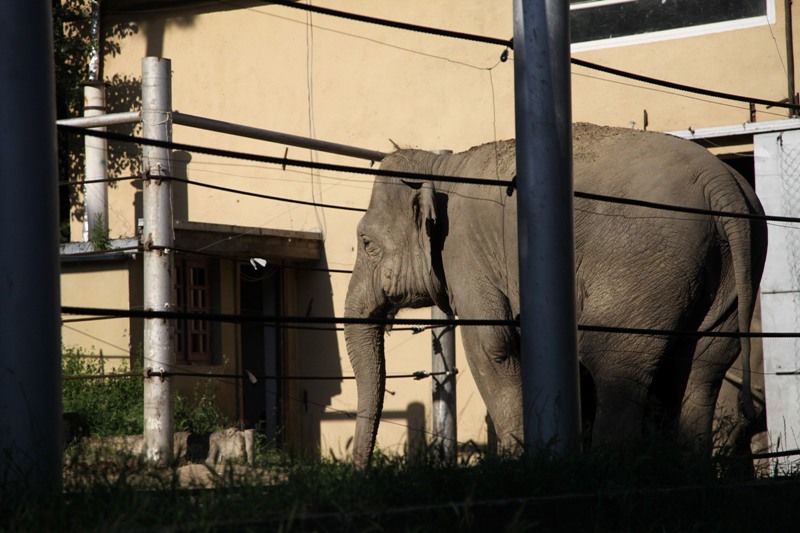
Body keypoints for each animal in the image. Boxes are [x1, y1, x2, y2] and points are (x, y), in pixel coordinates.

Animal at [346, 123, 768, 466]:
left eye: (366, 243)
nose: (361, 469)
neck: (441, 168)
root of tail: (723, 187)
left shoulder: (465, 252)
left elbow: (491, 346)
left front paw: (519, 464)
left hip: (647, 270)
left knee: (613, 364)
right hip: (726, 279)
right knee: (698, 370)